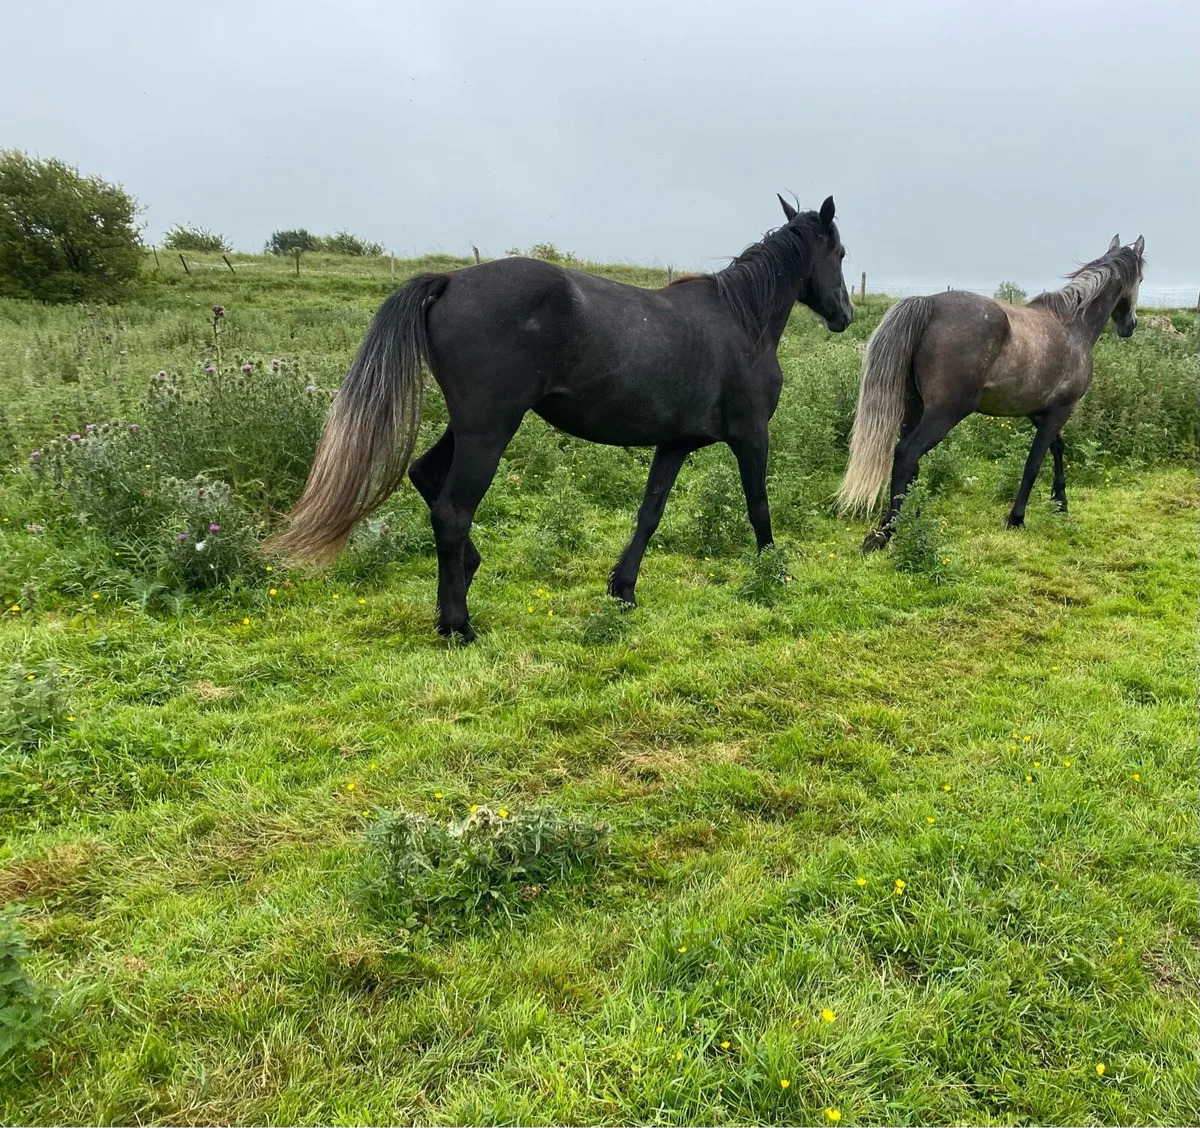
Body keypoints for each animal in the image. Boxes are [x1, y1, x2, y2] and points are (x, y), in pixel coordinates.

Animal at [267, 195, 854, 641]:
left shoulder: (674, 444)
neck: (742, 320)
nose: (845, 315)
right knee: (452, 511)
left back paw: (465, 579)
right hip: (489, 431)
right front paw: (774, 574)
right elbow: (759, 507)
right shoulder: (752, 436)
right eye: (842, 252)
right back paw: (458, 624)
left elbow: (649, 514)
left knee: (425, 476)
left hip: (468, 427)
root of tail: (451, 280)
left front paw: (623, 589)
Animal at [837, 234, 1144, 550]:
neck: (1073, 325)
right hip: (944, 413)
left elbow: (1057, 447)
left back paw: (909, 515)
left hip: (913, 408)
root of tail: (929, 304)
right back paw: (889, 530)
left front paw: (1060, 502)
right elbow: (1033, 463)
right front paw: (1017, 518)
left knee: (910, 463)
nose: (1130, 325)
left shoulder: (1039, 412)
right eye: (1141, 279)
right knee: (907, 454)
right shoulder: (1060, 409)